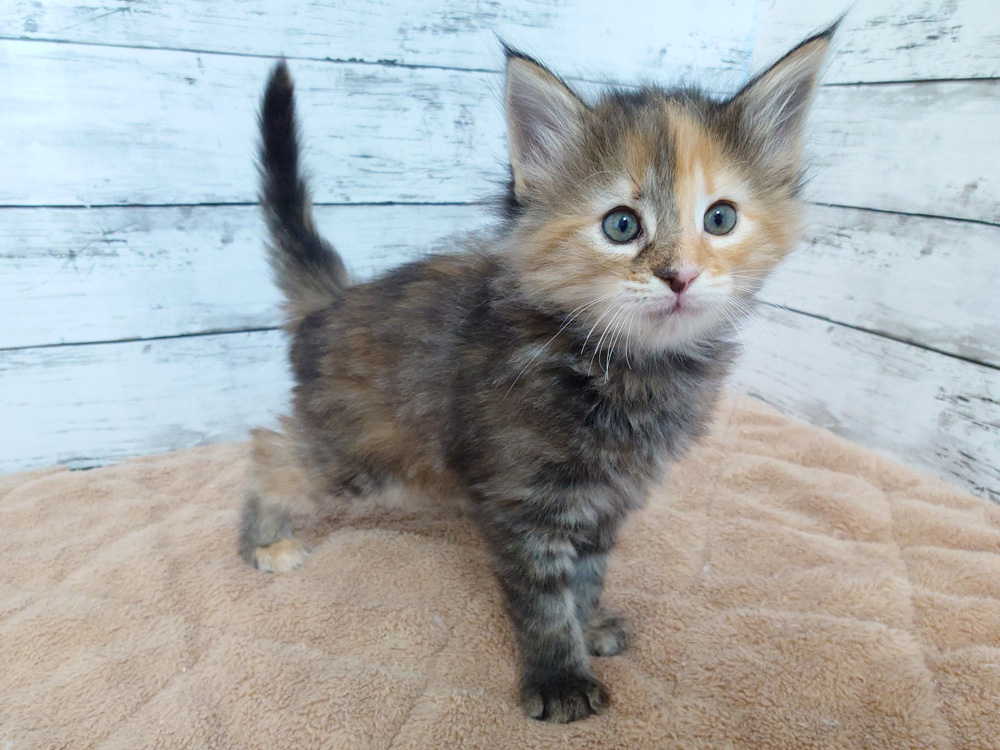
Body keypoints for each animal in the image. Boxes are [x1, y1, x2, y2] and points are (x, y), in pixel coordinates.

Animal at [239, 26, 835, 723]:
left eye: (720, 218)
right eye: (622, 225)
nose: (680, 276)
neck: (624, 369)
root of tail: (336, 301)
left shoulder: (608, 502)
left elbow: (586, 580)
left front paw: (590, 625)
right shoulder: (522, 498)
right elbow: (544, 600)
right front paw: (559, 678)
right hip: (360, 452)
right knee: (272, 449)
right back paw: (263, 539)